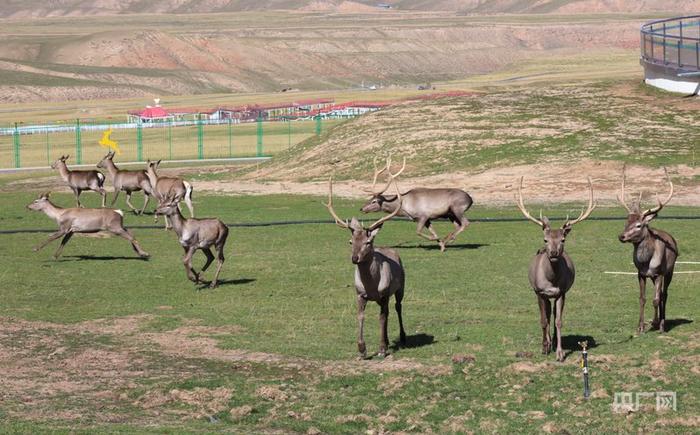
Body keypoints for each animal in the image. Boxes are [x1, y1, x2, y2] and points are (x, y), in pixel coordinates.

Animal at [326, 175, 408, 362]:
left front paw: (382, 349)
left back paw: (402, 337)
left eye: (368, 242)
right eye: (350, 241)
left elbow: (382, 317)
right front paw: (362, 350)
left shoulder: (384, 293)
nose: (354, 258)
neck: (372, 286)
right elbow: (361, 316)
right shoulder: (359, 294)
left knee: (397, 307)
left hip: (401, 286)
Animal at [516, 175, 596, 362]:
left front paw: (559, 353)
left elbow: (558, 321)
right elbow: (543, 320)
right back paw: (547, 343)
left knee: (552, 314)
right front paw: (544, 348)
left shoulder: (562, 292)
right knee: (545, 315)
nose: (552, 252)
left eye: (562, 240)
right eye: (545, 239)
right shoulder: (539, 292)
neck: (551, 280)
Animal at [616, 167, 680, 334]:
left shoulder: (659, 273)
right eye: (626, 222)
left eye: (639, 225)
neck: (647, 261)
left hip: (669, 271)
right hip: (653, 276)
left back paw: (662, 323)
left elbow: (656, 299)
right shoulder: (641, 274)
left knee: (664, 294)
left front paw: (656, 322)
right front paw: (640, 327)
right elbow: (642, 298)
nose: (621, 236)